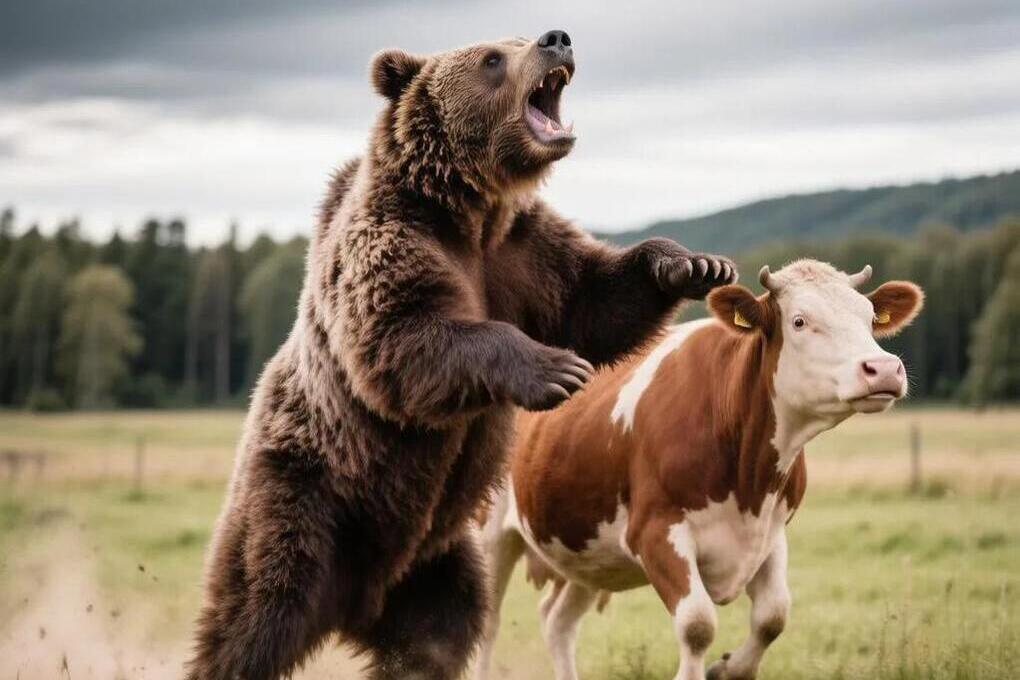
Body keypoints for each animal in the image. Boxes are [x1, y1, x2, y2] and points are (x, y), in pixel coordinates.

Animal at [186, 30, 737, 680]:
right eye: (494, 57)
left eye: (522, 39)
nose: (557, 39)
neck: (470, 209)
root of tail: (355, 600)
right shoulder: (395, 241)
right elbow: (405, 335)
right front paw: (558, 370)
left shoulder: (525, 255)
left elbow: (594, 300)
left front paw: (693, 264)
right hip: (307, 496)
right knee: (258, 611)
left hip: (436, 557)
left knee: (438, 636)